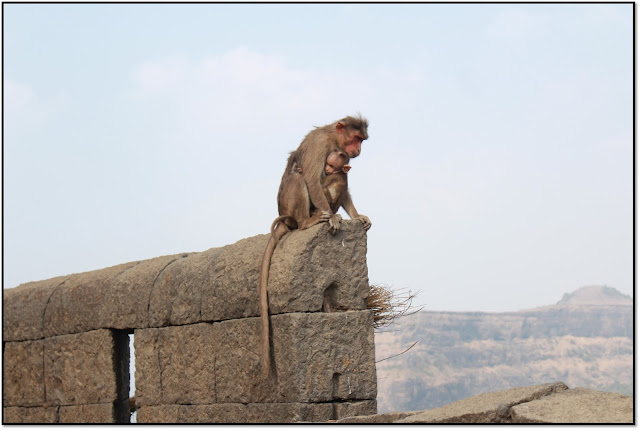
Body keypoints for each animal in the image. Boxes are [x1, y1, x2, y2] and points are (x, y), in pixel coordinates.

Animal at [258, 114, 372, 376]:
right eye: (356, 138)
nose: (358, 149)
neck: (333, 138)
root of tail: (286, 218)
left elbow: (343, 179)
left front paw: (356, 215)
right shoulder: (321, 146)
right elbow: (311, 177)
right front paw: (333, 217)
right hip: (291, 209)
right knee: (300, 178)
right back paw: (308, 222)